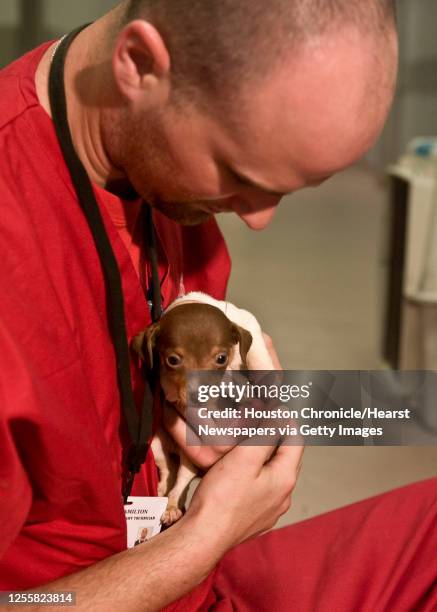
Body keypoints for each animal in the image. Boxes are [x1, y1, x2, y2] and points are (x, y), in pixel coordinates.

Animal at [133, 292, 274, 524]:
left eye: (221, 358)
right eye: (172, 360)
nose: (198, 394)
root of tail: (177, 450)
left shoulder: (247, 322)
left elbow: (256, 355)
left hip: (185, 459)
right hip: (157, 445)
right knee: (172, 474)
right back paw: (169, 502)